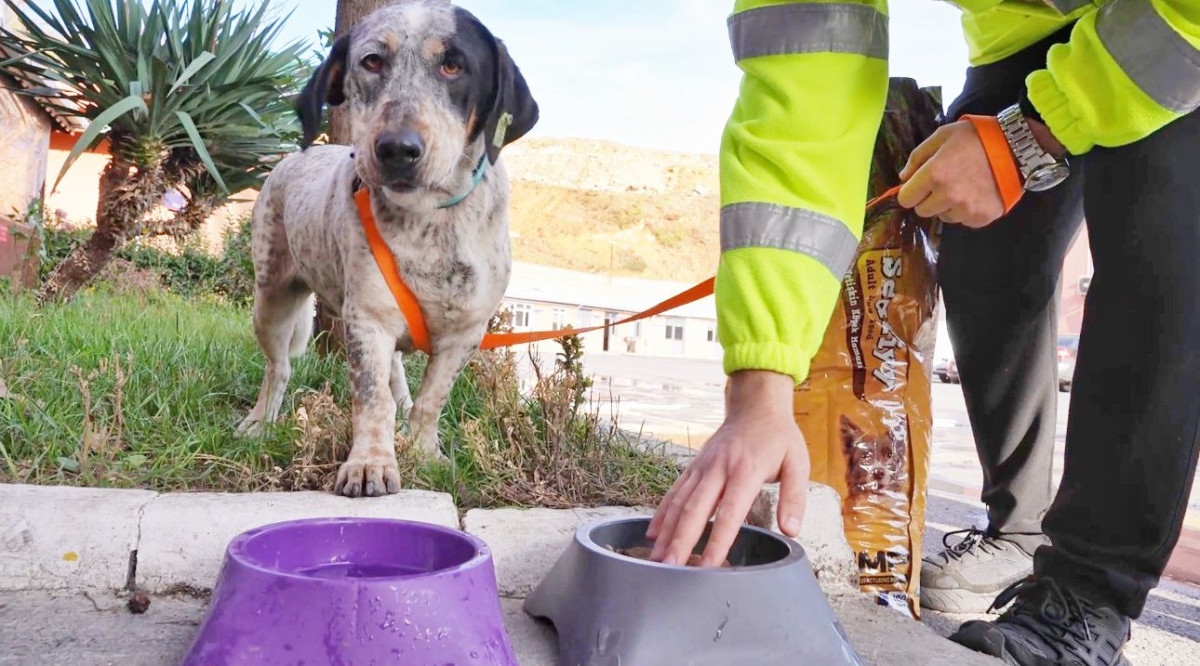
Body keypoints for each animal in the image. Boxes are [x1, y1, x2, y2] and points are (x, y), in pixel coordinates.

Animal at [238, 1, 540, 494]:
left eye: (453, 65)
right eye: (373, 61)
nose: (398, 149)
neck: (430, 221)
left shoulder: (466, 333)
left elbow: (430, 400)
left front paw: (423, 453)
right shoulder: (368, 322)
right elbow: (372, 399)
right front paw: (370, 464)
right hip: (271, 298)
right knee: (278, 368)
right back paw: (259, 422)